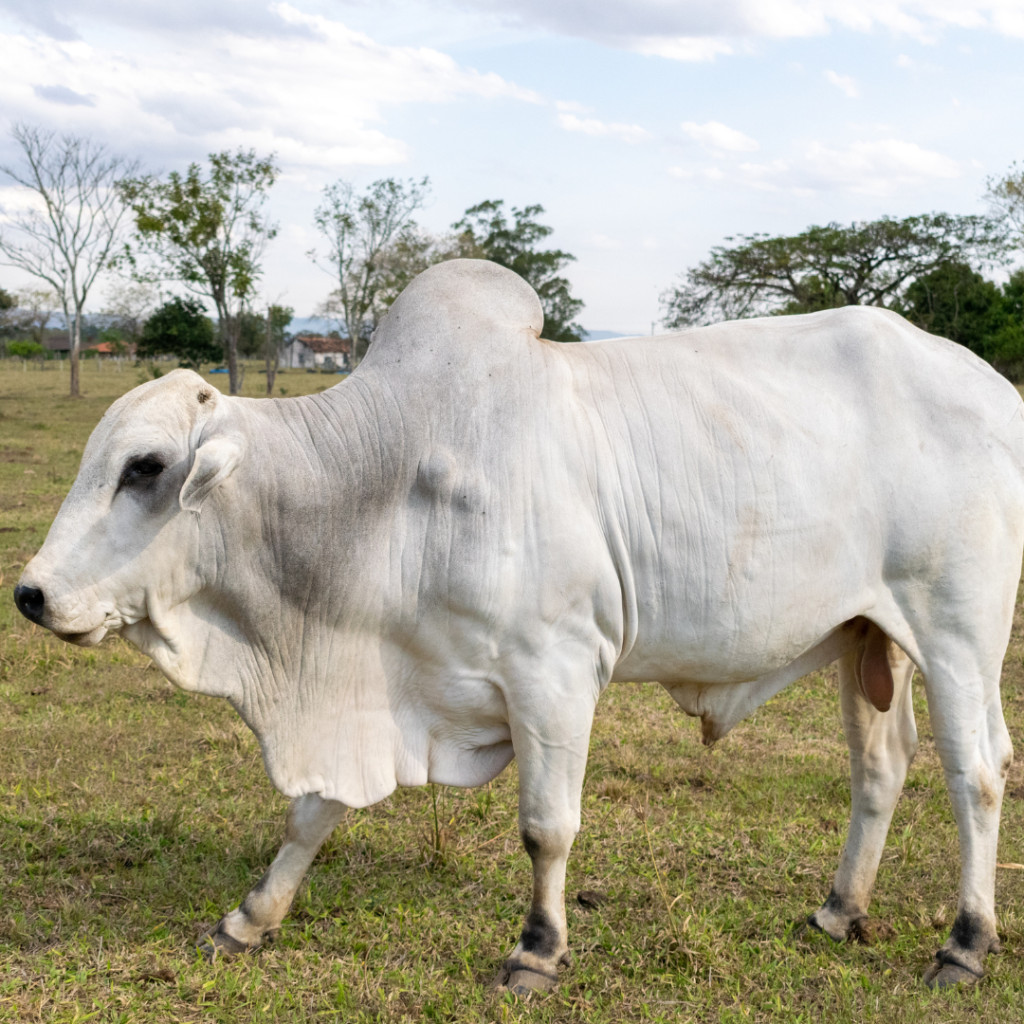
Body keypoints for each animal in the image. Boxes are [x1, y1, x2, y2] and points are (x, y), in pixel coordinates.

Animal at [16, 258, 1024, 991]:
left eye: (145, 468)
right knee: (880, 768)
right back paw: (838, 909)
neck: (383, 487)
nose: (31, 594)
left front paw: (537, 950)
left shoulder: (555, 671)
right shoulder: (386, 683)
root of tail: (995, 390)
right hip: (869, 637)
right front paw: (250, 918)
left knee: (975, 772)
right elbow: (312, 812)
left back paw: (965, 943)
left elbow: (547, 826)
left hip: (957, 635)